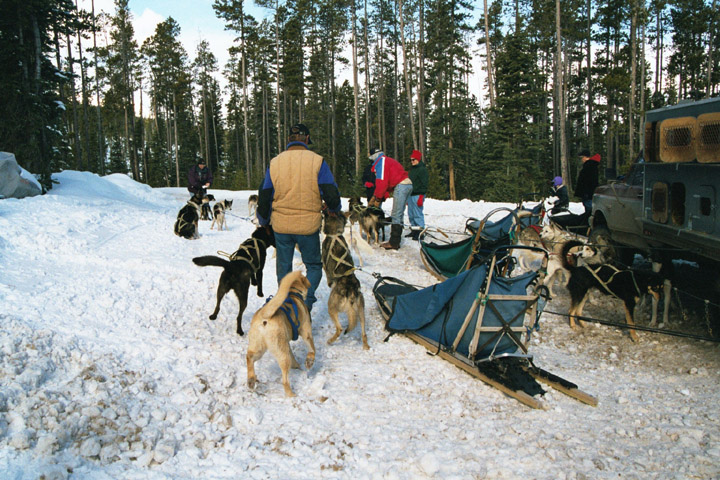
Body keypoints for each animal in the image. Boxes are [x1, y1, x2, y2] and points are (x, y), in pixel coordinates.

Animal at [248, 270, 316, 398]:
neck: (293, 293)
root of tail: (264, 316)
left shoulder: (286, 342)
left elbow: (292, 355)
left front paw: (297, 366)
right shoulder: (306, 333)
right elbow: (312, 349)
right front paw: (309, 362)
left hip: (259, 348)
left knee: (249, 357)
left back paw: (251, 380)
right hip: (282, 355)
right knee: (285, 380)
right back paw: (291, 394)